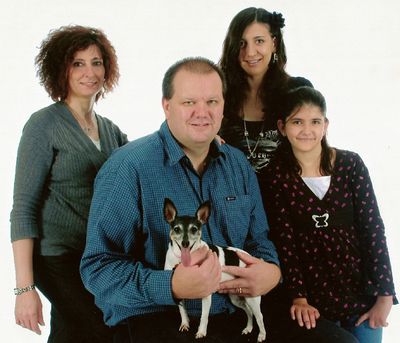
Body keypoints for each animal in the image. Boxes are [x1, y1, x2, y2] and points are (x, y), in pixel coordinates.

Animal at [162, 198, 266, 342]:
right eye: (176, 229)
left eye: (194, 229)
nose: (185, 243)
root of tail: (251, 257)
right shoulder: (177, 292)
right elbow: (182, 310)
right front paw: (185, 323)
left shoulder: (206, 296)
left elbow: (204, 316)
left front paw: (201, 332)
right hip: (236, 297)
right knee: (248, 312)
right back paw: (248, 328)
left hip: (252, 298)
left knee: (259, 316)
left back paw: (262, 335)